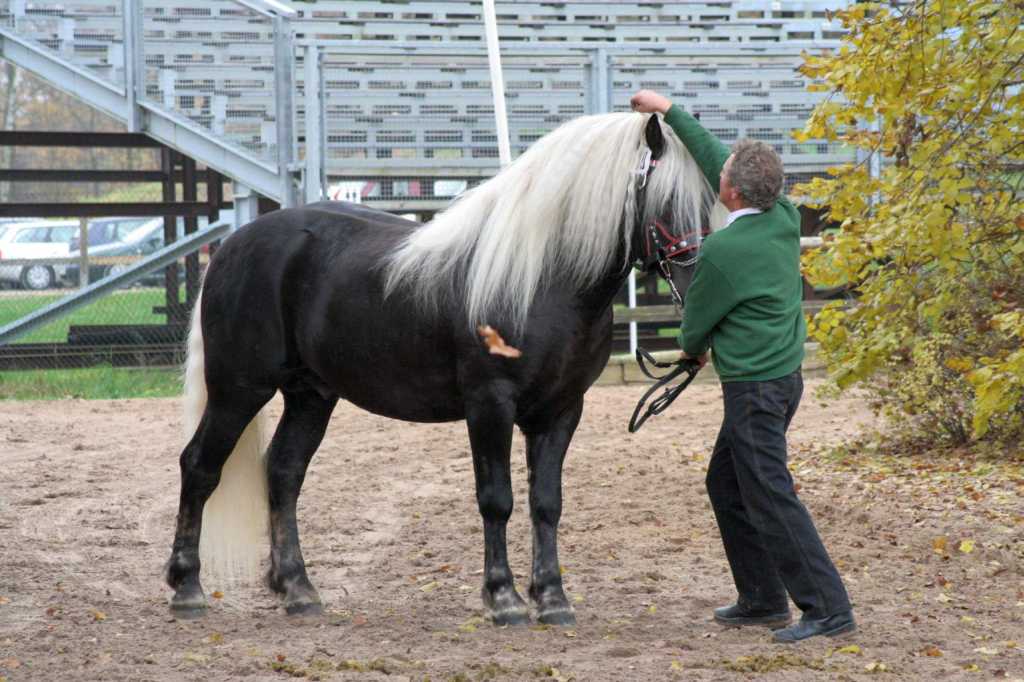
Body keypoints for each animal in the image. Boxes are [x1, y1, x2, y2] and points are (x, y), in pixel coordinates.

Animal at [165, 112, 721, 626]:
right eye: (666, 201)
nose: (700, 286)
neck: (544, 279)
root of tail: (232, 246)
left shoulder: (561, 410)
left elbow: (547, 502)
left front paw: (553, 599)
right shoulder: (490, 404)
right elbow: (497, 499)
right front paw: (504, 599)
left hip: (310, 395)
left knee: (283, 472)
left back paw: (298, 589)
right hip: (239, 389)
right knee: (200, 466)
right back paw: (187, 587)